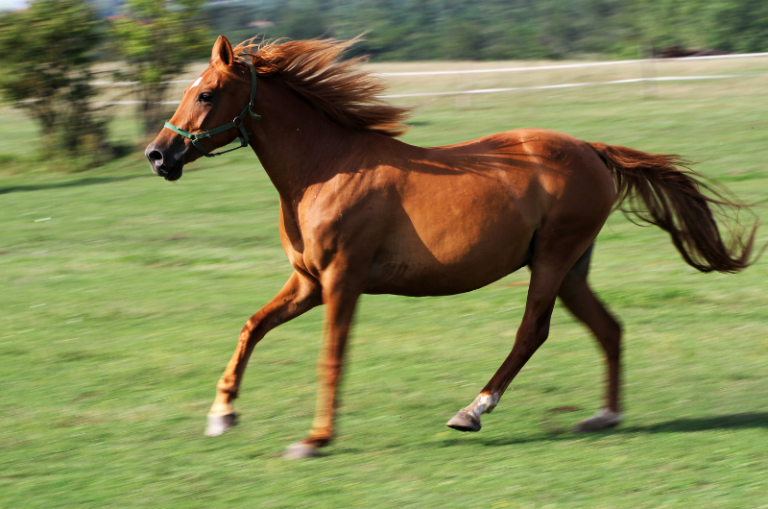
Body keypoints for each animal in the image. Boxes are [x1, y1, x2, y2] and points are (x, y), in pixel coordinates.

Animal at [145, 35, 757, 459]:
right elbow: (252, 326)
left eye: (206, 93)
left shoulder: (343, 279)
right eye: (185, 90)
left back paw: (473, 410)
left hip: (553, 260)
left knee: (533, 331)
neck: (325, 170)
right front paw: (221, 415)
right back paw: (603, 417)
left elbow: (331, 356)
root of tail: (591, 148)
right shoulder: (309, 282)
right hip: (572, 267)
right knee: (608, 329)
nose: (158, 155)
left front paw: (314, 440)